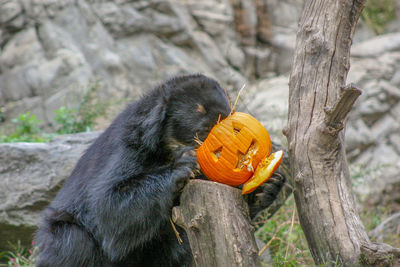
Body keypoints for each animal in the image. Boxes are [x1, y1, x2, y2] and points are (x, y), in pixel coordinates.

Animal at [34, 74, 284, 266]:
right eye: (202, 117)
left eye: (230, 113)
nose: (220, 122)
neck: (167, 147)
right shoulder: (130, 147)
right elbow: (109, 206)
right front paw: (184, 164)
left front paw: (268, 187)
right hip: (63, 233)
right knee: (74, 243)